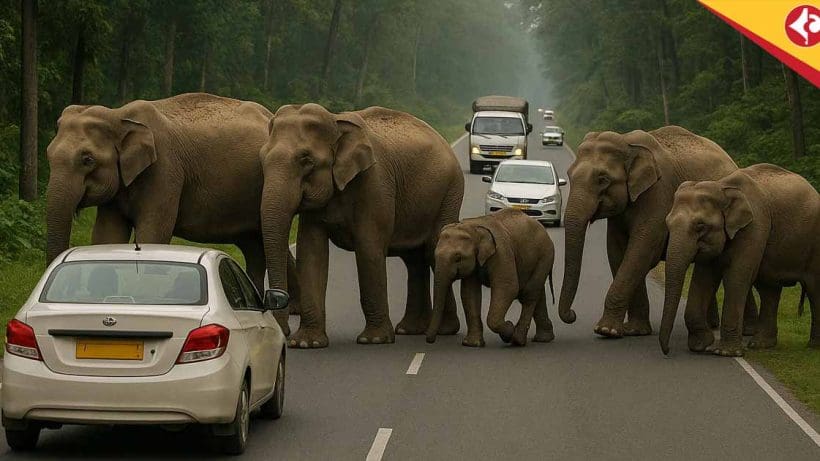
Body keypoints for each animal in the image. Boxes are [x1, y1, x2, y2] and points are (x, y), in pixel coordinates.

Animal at [45, 92, 300, 331]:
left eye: (87, 159)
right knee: (257, 245)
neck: (119, 116)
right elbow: (107, 235)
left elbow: (152, 232)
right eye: (48, 154)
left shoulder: (165, 170)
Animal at [259, 103, 464, 348]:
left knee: (433, 251)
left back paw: (444, 330)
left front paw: (373, 340)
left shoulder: (375, 182)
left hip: (449, 193)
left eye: (305, 159)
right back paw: (410, 329)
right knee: (414, 260)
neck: (336, 121)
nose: (283, 331)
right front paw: (306, 343)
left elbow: (368, 247)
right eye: (261, 158)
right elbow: (311, 251)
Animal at [425, 209, 556, 347]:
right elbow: (470, 293)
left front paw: (509, 330)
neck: (473, 227)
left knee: (529, 293)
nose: (430, 341)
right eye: (434, 256)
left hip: (545, 255)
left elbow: (508, 287)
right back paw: (543, 339)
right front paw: (472, 344)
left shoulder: (501, 252)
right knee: (537, 294)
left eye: (458, 258)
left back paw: (518, 340)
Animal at [557, 126, 758, 337]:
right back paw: (712, 325)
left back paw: (744, 331)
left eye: (603, 179)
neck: (627, 142)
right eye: (569, 175)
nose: (572, 315)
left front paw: (606, 330)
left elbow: (641, 250)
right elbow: (617, 252)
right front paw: (635, 330)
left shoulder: (659, 194)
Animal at [660, 164, 820, 356]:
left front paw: (725, 353)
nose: (667, 351)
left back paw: (813, 346)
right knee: (769, 289)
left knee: (814, 288)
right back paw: (760, 345)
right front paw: (701, 345)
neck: (721, 187)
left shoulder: (755, 225)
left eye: (700, 226)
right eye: (667, 223)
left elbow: (736, 277)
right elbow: (703, 278)